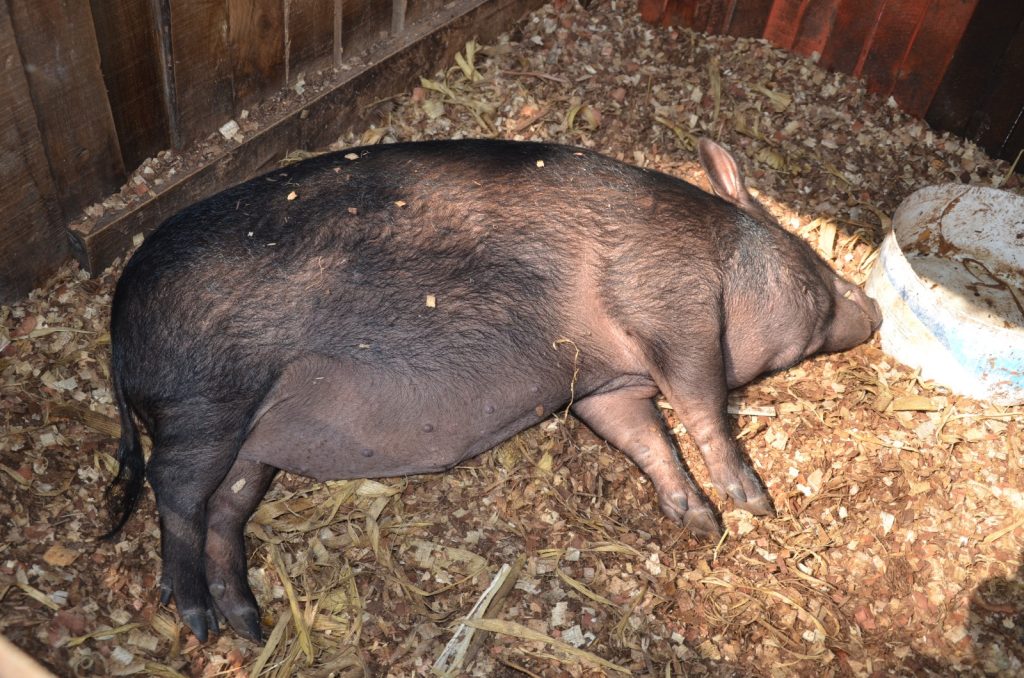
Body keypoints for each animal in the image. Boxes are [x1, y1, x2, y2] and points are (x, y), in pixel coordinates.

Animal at [103, 138, 881, 642]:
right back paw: (198, 621)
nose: (871, 306)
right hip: (207, 400)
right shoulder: (674, 310)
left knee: (225, 510)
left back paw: (249, 626)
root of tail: (116, 318)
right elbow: (702, 407)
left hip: (251, 442)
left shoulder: (604, 387)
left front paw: (700, 522)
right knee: (175, 491)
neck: (721, 258)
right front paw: (753, 503)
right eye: (815, 268)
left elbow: (646, 439)